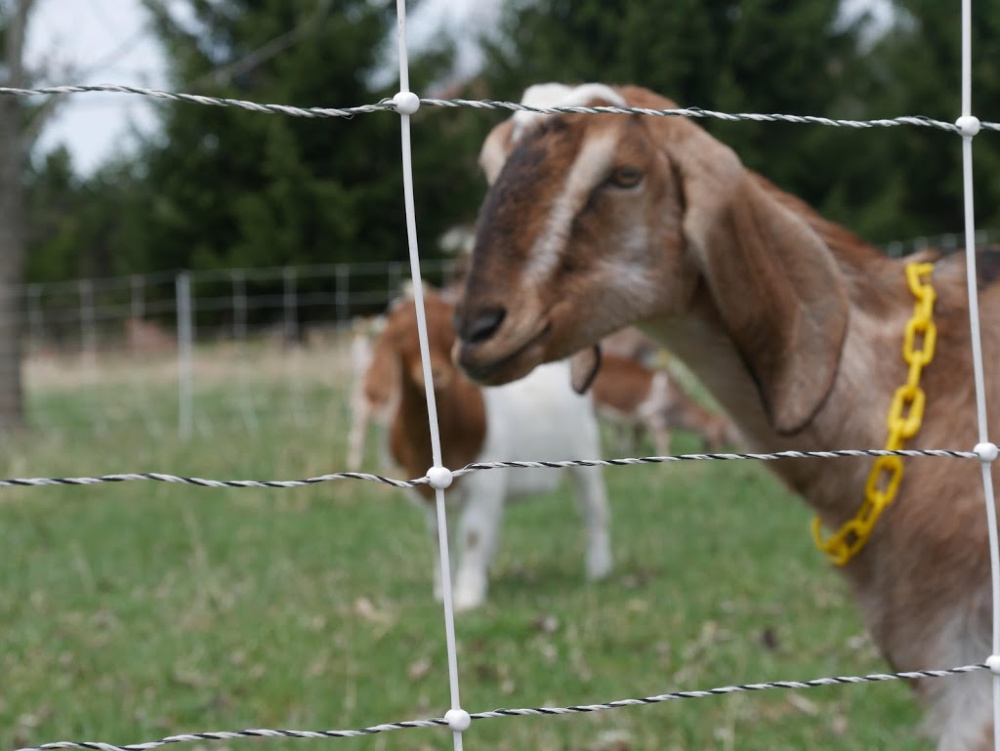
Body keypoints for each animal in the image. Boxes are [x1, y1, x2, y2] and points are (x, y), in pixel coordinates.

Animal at [372, 286, 612, 612]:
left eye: (449, 332)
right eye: (399, 335)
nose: (436, 375)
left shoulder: (485, 477)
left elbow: (473, 534)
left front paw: (467, 596)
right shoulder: (427, 487)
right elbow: (439, 535)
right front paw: (444, 590)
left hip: (584, 451)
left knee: (594, 506)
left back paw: (599, 568)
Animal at [588, 354, 740, 458]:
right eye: (730, 426)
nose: (740, 444)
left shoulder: (646, 422)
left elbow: (638, 439)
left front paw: (628, 453)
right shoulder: (649, 413)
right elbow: (662, 441)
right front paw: (665, 469)